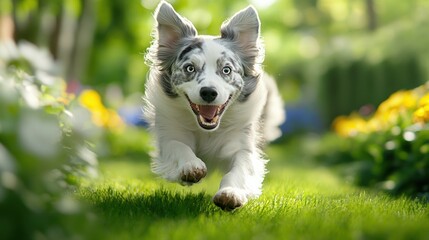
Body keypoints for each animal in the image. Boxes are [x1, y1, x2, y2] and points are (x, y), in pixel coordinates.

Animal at [143, 0, 284, 210]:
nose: (209, 92)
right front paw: (191, 167)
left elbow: (240, 168)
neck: (207, 131)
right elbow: (177, 145)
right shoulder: (168, 133)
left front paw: (230, 194)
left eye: (226, 70)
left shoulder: (241, 144)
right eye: (189, 68)